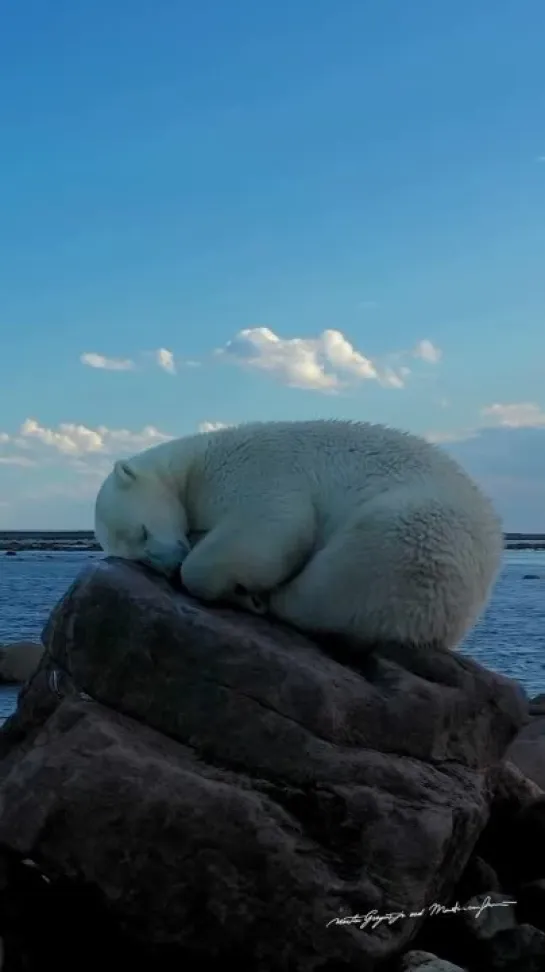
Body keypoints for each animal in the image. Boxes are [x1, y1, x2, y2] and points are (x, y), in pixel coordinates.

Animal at [92, 418, 502, 652]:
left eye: (142, 531)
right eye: (136, 554)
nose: (170, 564)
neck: (197, 459)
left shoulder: (257, 467)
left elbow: (276, 522)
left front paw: (205, 570)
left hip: (414, 535)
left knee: (338, 581)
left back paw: (259, 599)